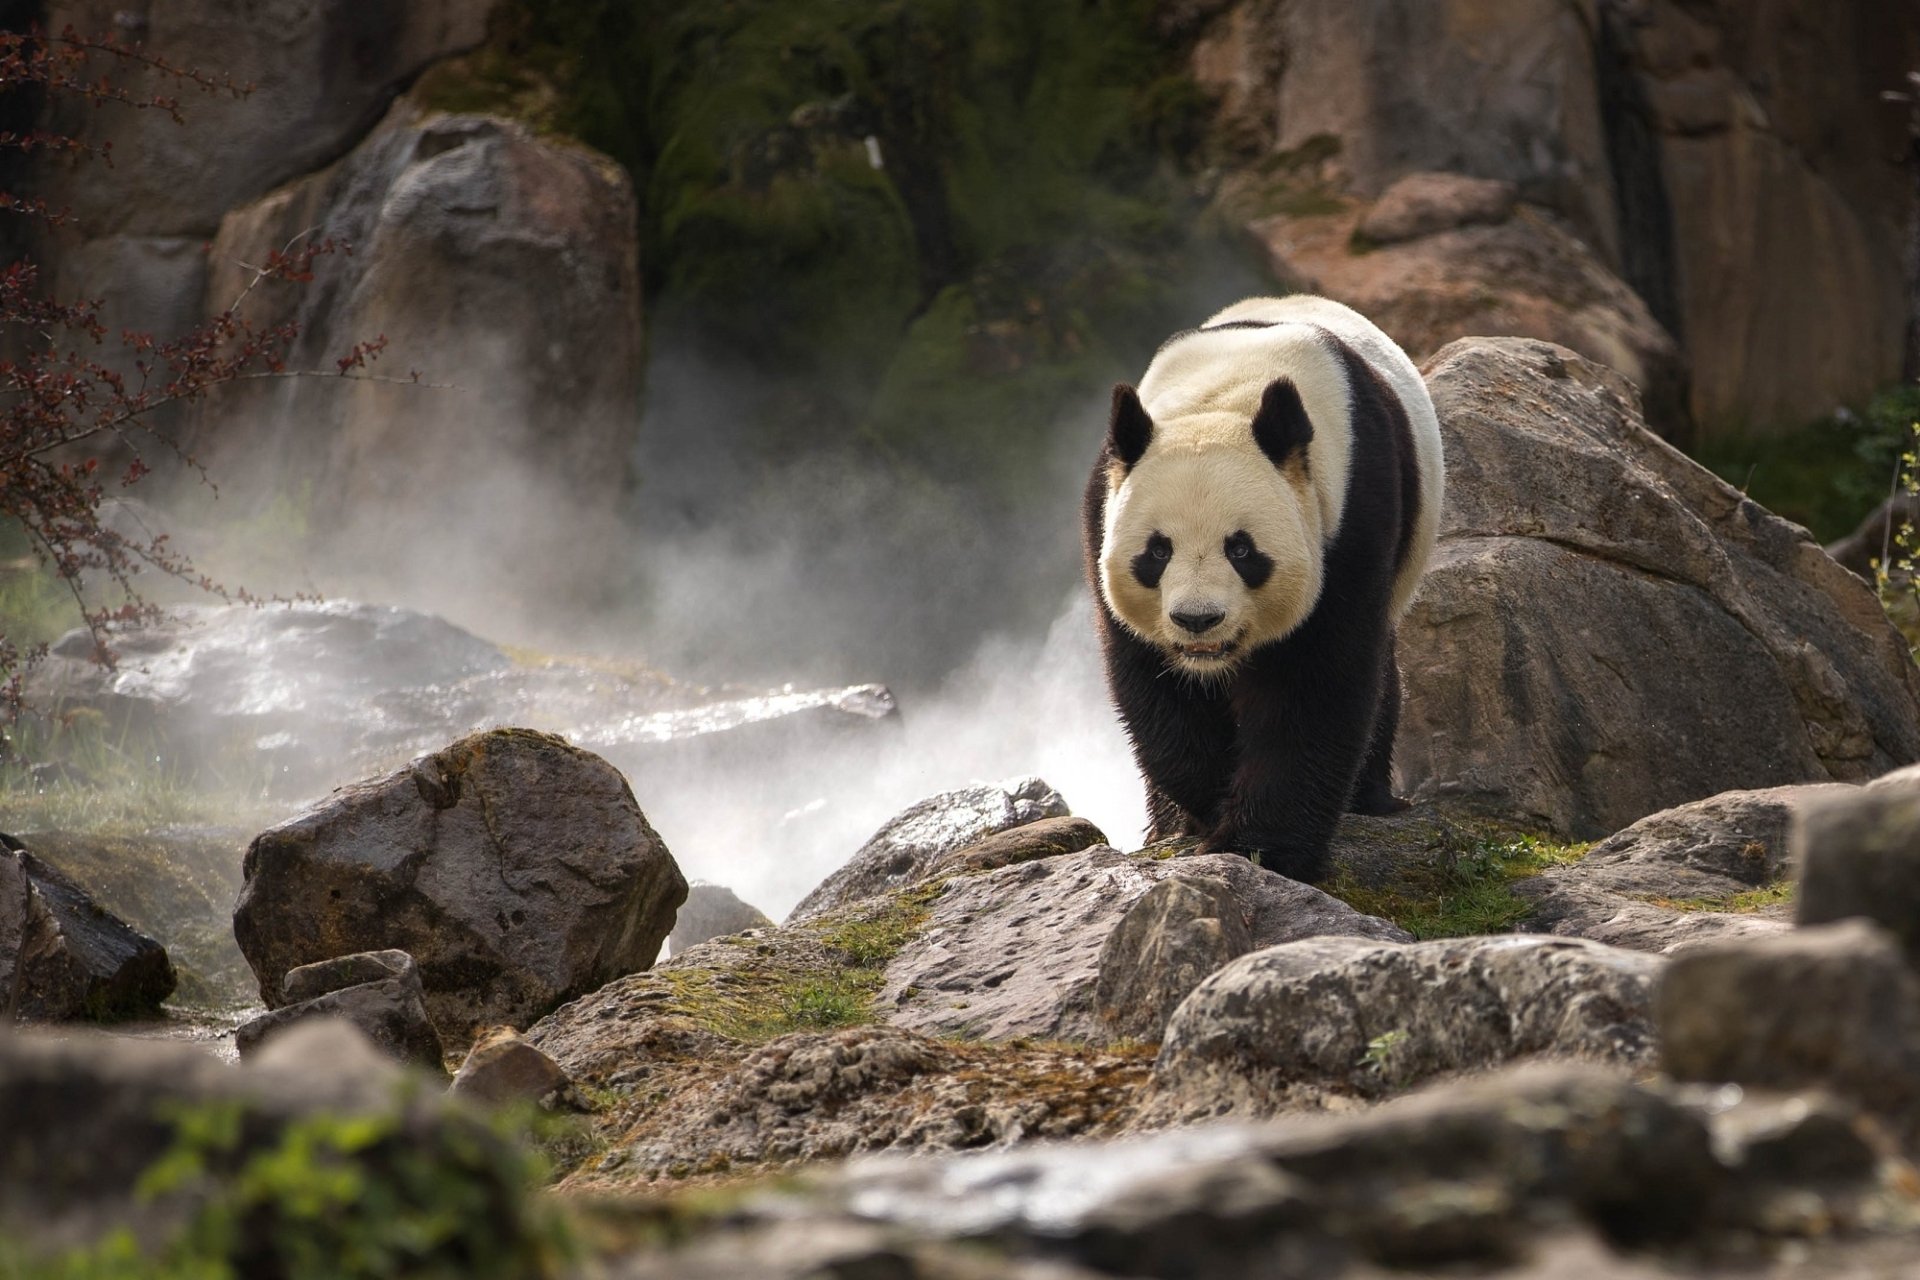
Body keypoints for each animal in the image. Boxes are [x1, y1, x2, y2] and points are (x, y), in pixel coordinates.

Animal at [1082, 295, 1444, 884]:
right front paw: (1209, 806)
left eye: (1242, 549)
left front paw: (1263, 847)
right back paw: (1166, 824)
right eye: (1157, 552)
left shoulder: (1349, 515)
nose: (1198, 619)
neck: (1223, 398)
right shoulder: (1104, 516)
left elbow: (1314, 684)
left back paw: (1370, 798)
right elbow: (1156, 688)